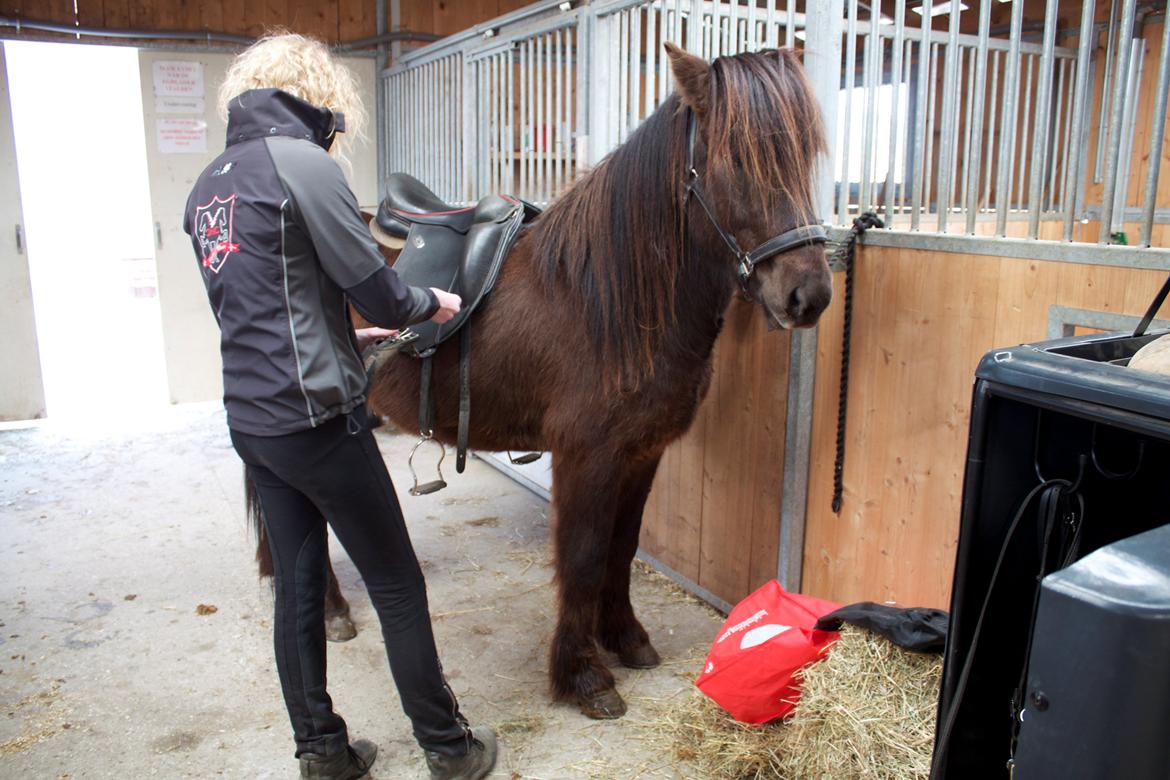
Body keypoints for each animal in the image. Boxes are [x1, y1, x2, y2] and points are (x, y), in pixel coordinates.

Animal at [253, 44, 833, 720]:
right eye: (737, 160)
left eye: (803, 157)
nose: (808, 296)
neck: (606, 301)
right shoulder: (587, 455)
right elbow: (582, 556)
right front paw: (584, 677)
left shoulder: (642, 454)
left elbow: (620, 548)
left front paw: (625, 638)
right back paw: (333, 612)